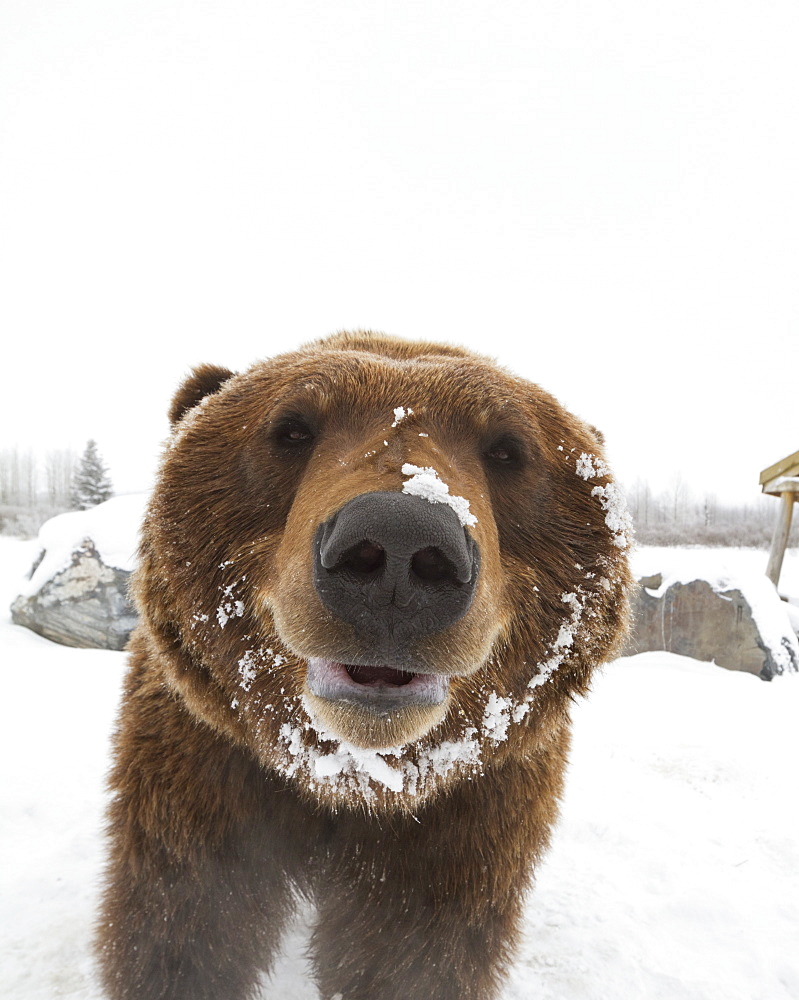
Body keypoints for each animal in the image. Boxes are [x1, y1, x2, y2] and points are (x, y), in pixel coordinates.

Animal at [95, 330, 632, 1000]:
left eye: (508, 449)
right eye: (291, 428)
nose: (399, 543)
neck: (350, 776)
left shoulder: (466, 814)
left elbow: (408, 952)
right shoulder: (205, 763)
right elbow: (183, 922)